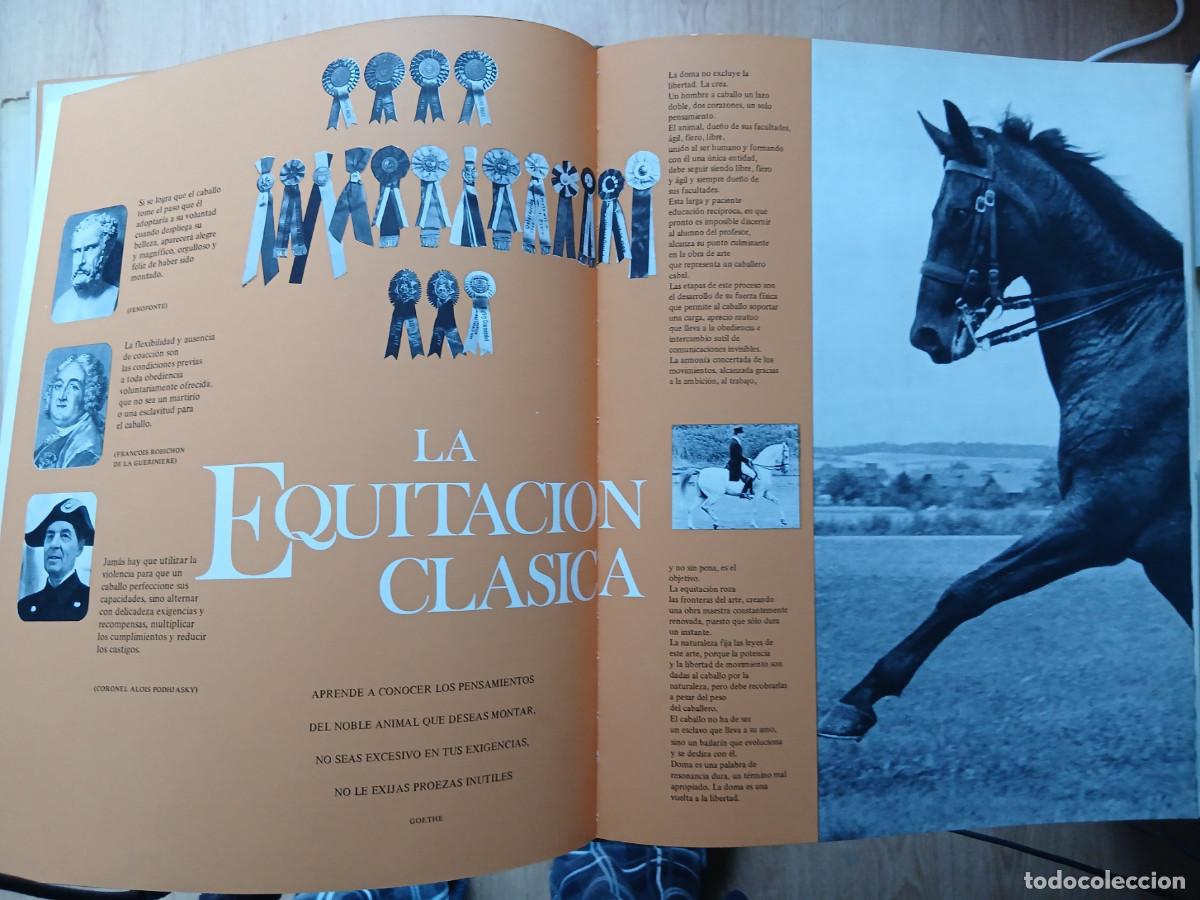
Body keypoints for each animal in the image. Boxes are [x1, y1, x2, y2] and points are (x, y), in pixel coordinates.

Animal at [818, 100, 1191, 740]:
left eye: (957, 211)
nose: (927, 332)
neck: (1137, 333)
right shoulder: (1159, 549)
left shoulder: (1101, 519)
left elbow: (967, 590)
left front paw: (859, 697)